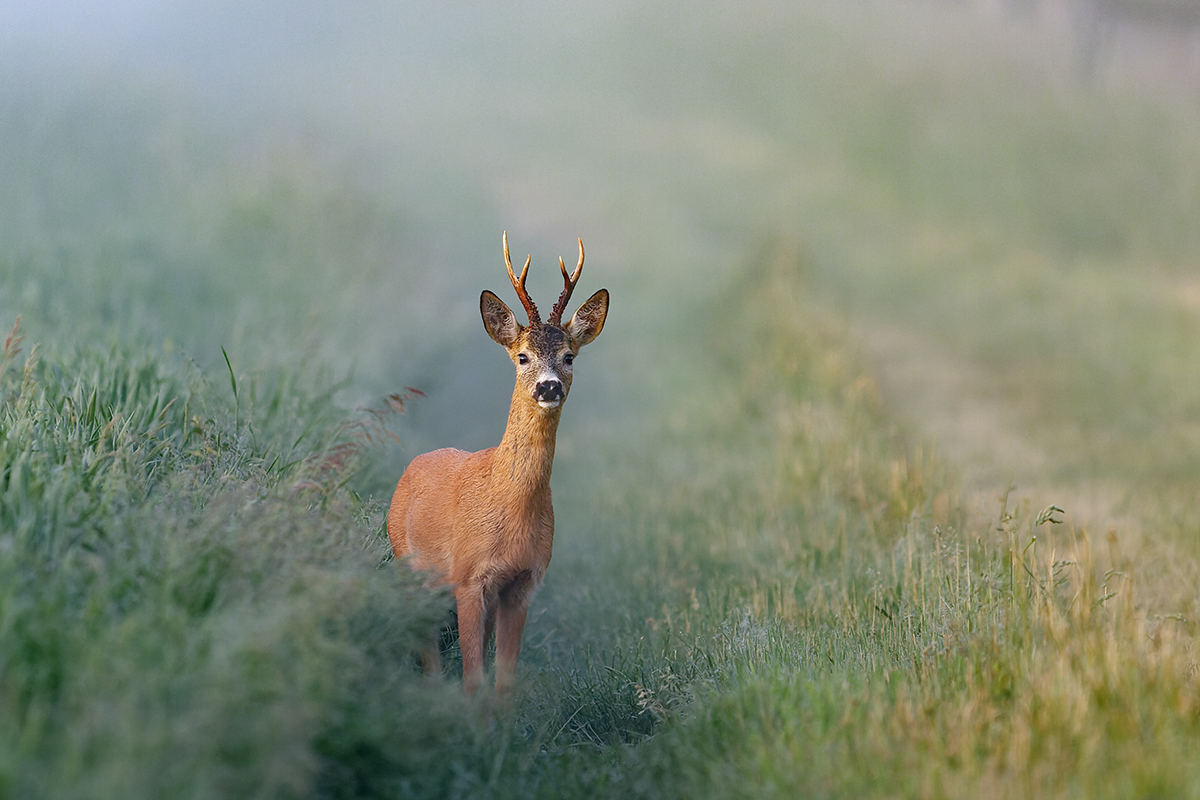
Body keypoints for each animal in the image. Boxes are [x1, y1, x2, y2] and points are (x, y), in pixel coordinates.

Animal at [387, 232, 609, 703]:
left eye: (569, 356)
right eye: (522, 356)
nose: (549, 387)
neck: (510, 505)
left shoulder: (523, 583)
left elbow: (503, 679)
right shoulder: (469, 577)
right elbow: (473, 679)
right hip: (407, 565)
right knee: (428, 654)